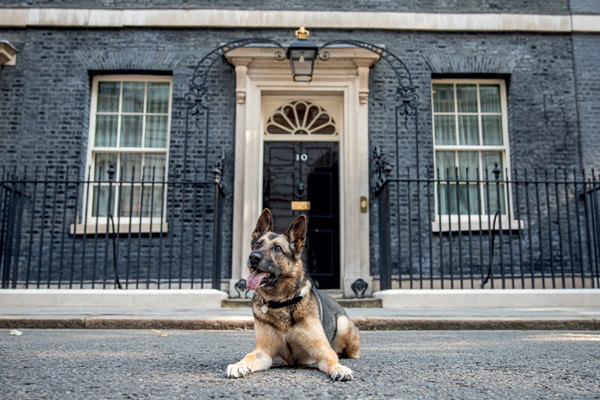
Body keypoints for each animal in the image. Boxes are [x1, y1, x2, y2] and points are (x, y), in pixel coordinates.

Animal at [225, 209, 358, 382]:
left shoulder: (322, 351)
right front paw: (239, 365)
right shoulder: (264, 353)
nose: (253, 257)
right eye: (257, 244)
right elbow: (249, 356)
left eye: (277, 248)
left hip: (342, 324)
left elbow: (331, 359)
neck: (281, 302)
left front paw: (339, 368)